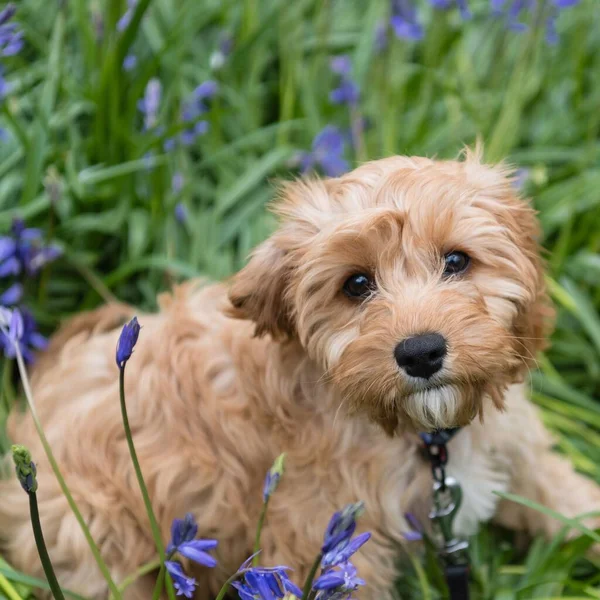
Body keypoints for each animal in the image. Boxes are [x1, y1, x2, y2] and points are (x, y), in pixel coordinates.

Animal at [1, 150, 600, 600]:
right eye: (356, 285)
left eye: (457, 261)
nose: (421, 353)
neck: (427, 437)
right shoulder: (330, 542)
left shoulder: (518, 448)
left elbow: (572, 501)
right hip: (93, 542)